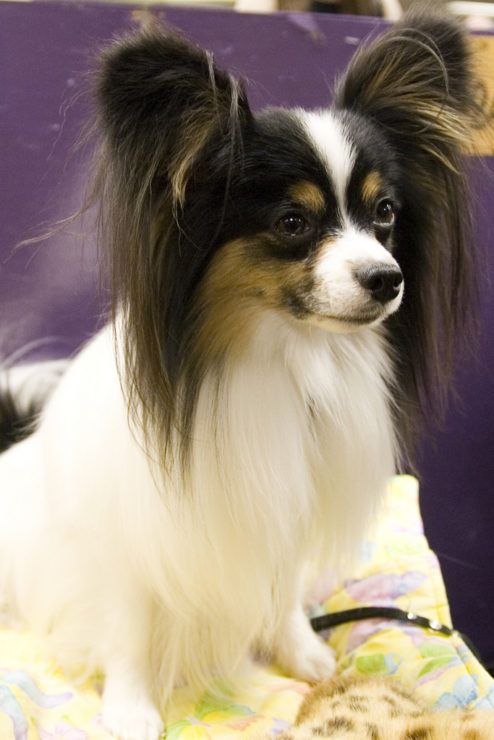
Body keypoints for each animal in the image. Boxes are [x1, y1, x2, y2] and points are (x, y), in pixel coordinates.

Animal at [0, 11, 478, 740]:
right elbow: (128, 633)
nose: (387, 278)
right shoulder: (127, 542)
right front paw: (131, 708)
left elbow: (281, 595)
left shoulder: (281, 506)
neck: (282, 356)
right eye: (292, 222)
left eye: (386, 214)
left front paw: (302, 653)